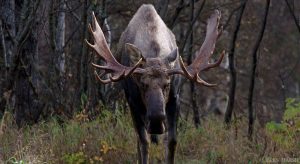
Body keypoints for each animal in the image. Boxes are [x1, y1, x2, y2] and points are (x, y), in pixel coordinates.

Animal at [85, 3, 224, 164]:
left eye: (167, 84)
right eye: (142, 84)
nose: (157, 120)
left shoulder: (175, 98)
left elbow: (172, 141)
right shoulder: (133, 100)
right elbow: (144, 142)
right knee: (139, 140)